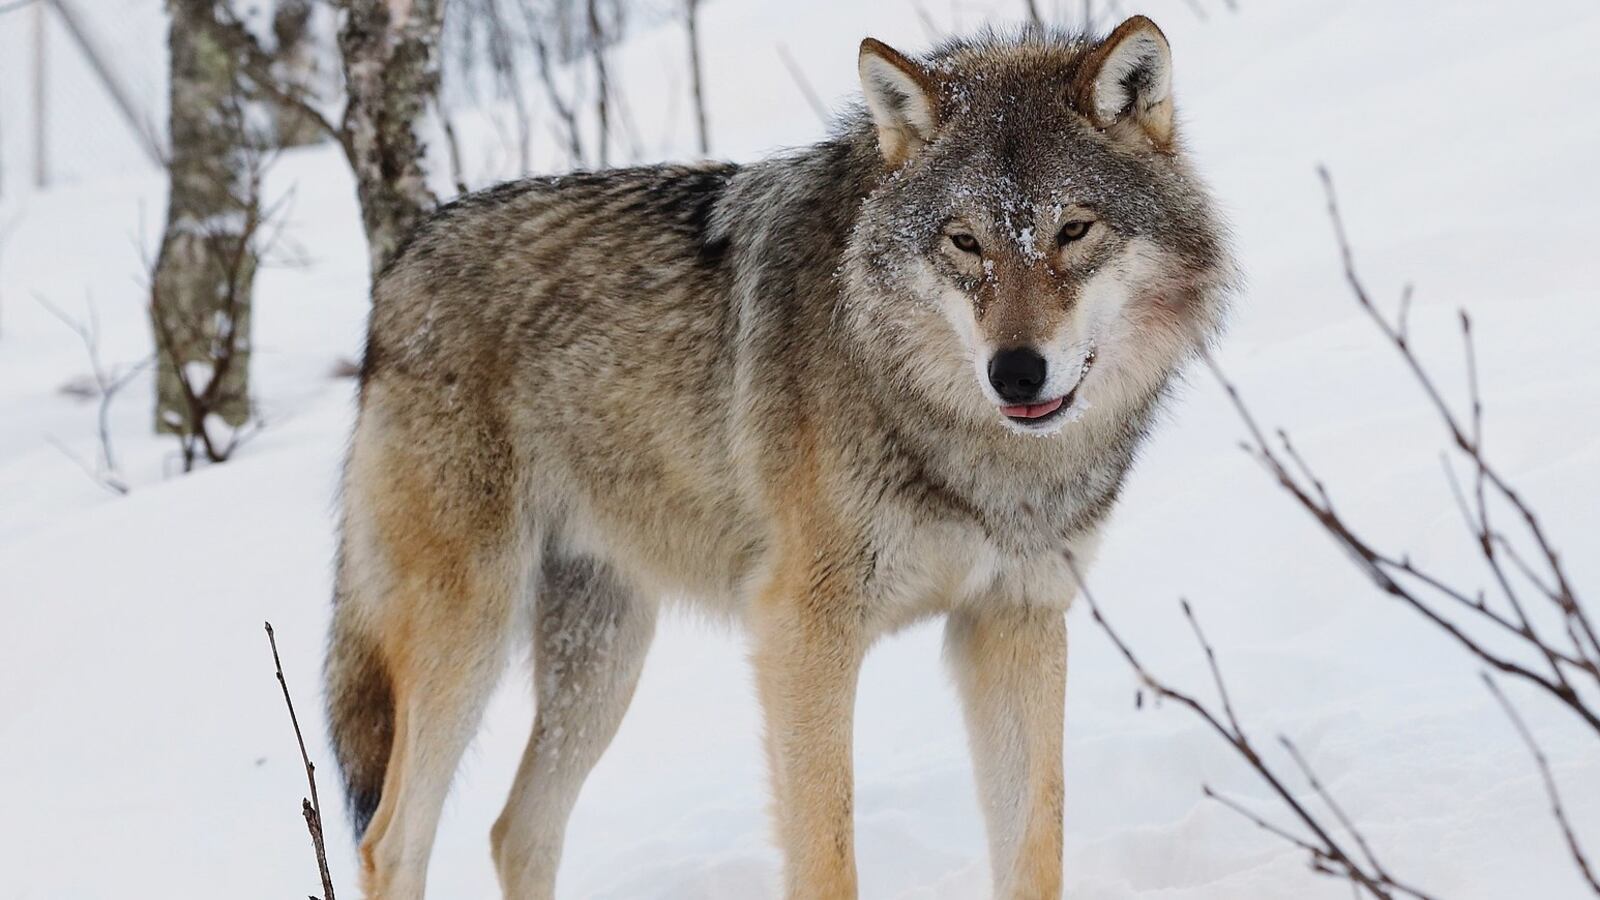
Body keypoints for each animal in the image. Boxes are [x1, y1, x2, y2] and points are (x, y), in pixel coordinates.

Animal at [326, 15, 1234, 899]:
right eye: (965, 242)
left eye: (1074, 230)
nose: (1015, 372)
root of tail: (401, 264)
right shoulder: (802, 631)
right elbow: (826, 858)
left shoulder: (1015, 620)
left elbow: (1034, 851)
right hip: (470, 632)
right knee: (390, 844)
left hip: (603, 658)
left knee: (517, 832)